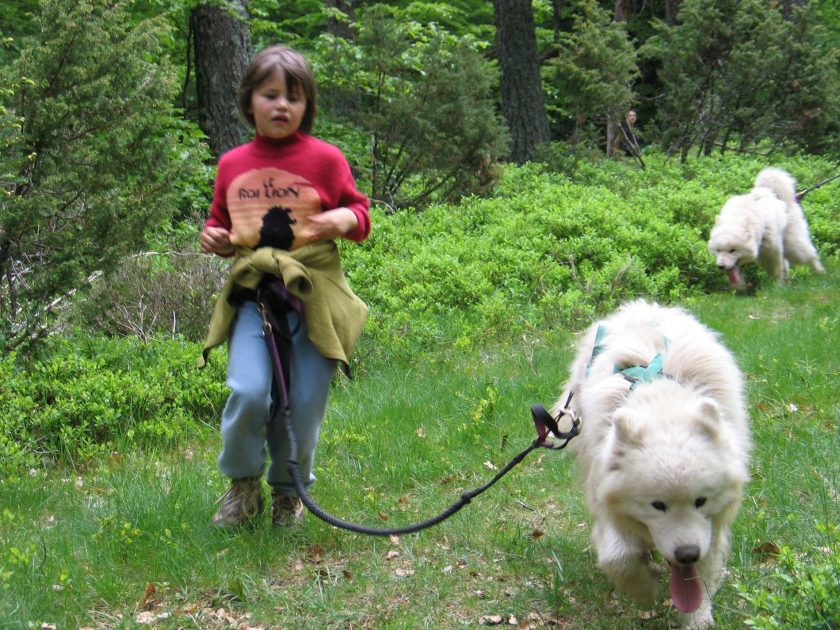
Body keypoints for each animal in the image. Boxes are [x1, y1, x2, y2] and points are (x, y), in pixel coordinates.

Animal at [556, 302, 752, 630]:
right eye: (657, 505)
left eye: (701, 501)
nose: (687, 554)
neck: (663, 405)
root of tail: (642, 305)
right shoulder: (605, 498)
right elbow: (618, 557)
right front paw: (645, 588)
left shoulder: (711, 525)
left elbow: (704, 572)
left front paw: (697, 618)